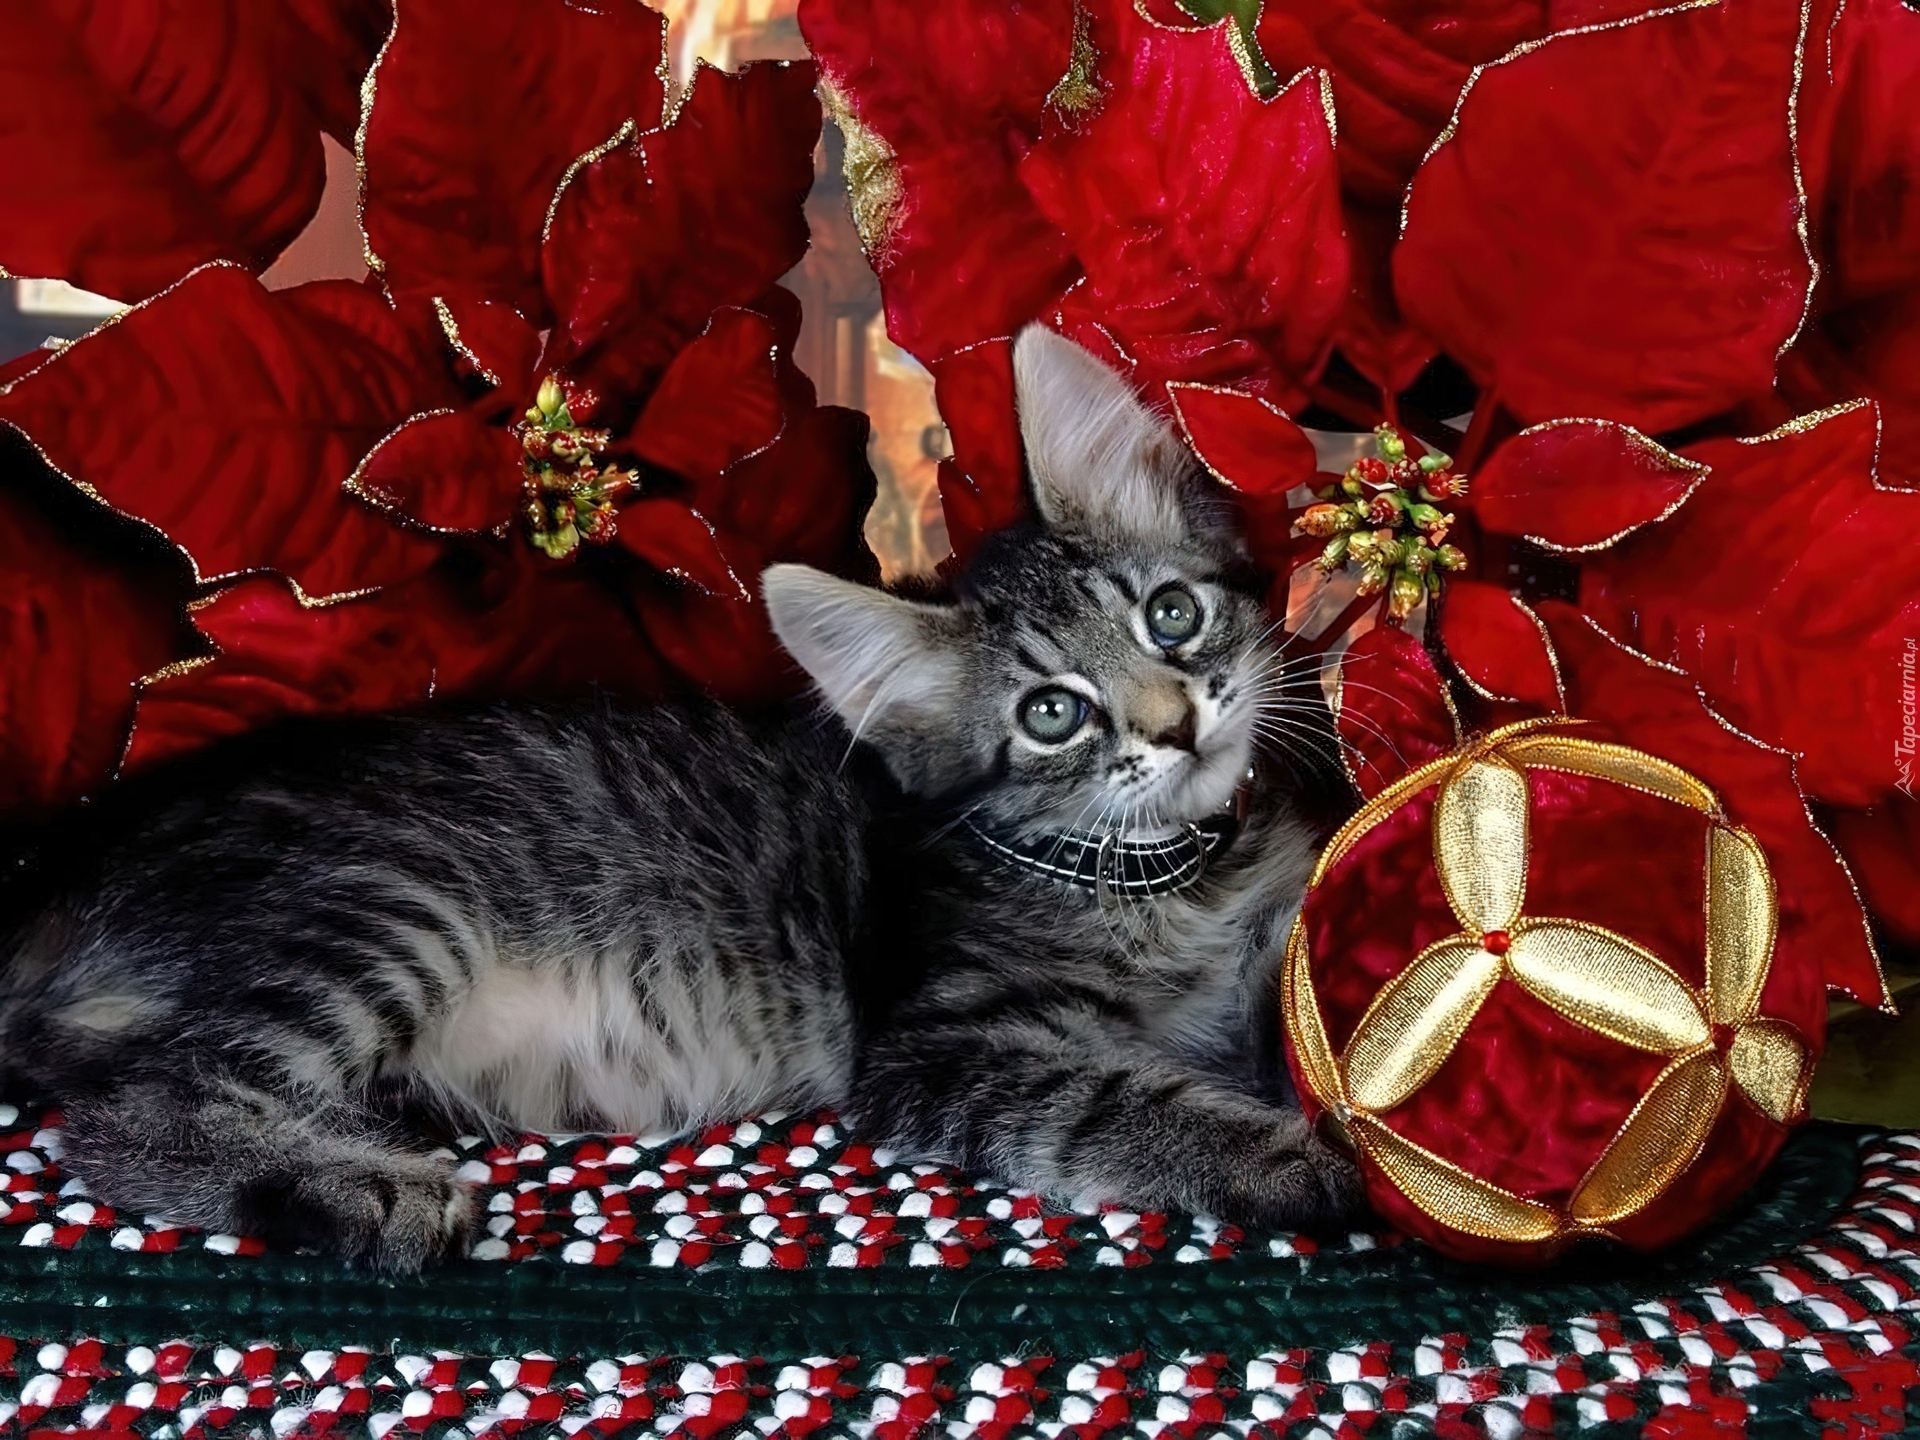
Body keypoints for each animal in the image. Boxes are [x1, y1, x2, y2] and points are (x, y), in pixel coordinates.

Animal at [0, 326, 1361, 1272]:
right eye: (1052, 715)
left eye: (1170, 613)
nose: (1176, 723)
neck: (1168, 880)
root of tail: (79, 857)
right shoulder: (942, 1048)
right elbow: (1123, 1099)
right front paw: (1295, 1159)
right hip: (381, 911)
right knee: (129, 1116)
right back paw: (363, 1190)